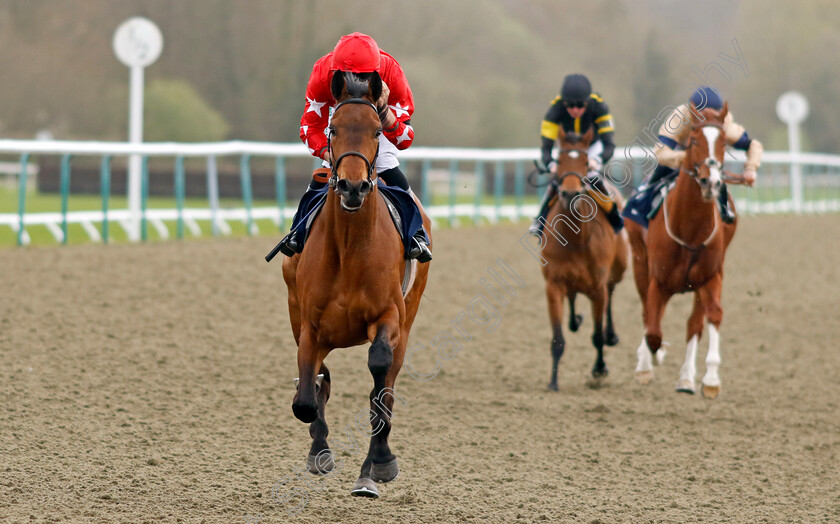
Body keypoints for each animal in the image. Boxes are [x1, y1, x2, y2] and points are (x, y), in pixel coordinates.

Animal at [282, 71, 434, 498]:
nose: (352, 187)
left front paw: (378, 464)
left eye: (377, 131)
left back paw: (373, 467)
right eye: (333, 128)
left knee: (386, 389)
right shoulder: (309, 325)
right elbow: (307, 395)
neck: (350, 248)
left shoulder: (389, 316)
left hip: (409, 319)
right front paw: (319, 451)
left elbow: (378, 380)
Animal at [540, 127, 628, 388]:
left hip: (618, 268)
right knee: (573, 298)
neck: (574, 238)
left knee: (611, 291)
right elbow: (558, 338)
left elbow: (597, 335)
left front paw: (600, 368)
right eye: (559, 160)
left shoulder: (597, 286)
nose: (570, 193)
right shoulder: (553, 284)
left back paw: (611, 335)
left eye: (586, 161)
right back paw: (575, 320)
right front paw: (553, 382)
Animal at [628, 101, 744, 398]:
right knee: (647, 314)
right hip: (639, 262)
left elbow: (711, 317)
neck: (690, 229)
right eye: (694, 140)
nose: (710, 182)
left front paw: (710, 379)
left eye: (724, 142)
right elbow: (653, 330)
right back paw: (647, 362)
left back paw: (686, 378)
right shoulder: (658, 281)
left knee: (694, 323)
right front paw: (649, 360)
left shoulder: (711, 277)